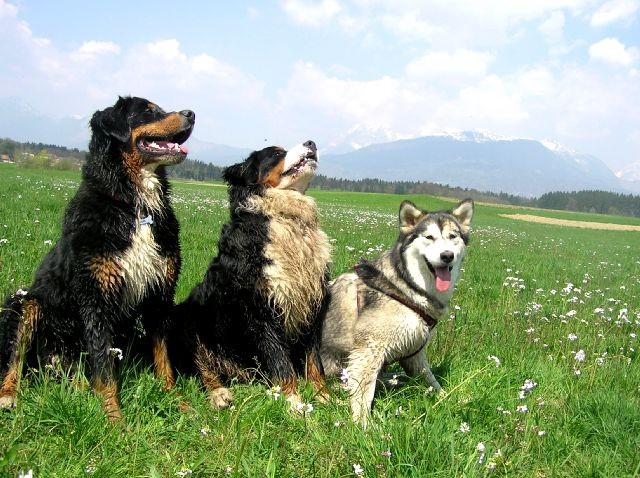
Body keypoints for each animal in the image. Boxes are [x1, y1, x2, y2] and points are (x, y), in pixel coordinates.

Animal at [0, 98, 195, 422]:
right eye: (148, 110)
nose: (191, 114)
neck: (134, 206)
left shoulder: (159, 295)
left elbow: (162, 357)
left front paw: (177, 402)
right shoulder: (96, 296)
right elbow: (103, 369)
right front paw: (113, 418)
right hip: (25, 302)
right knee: (14, 357)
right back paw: (8, 395)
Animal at [170, 142, 330, 410]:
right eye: (276, 153)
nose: (311, 143)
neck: (286, 220)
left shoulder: (311, 303)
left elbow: (314, 359)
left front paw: (323, 396)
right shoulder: (261, 309)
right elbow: (281, 361)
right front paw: (293, 402)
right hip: (186, 319)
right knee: (200, 367)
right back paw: (219, 393)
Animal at [322, 198, 472, 426]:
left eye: (453, 236)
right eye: (429, 237)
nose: (447, 256)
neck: (406, 287)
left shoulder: (414, 351)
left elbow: (430, 379)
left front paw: (448, 398)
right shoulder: (369, 350)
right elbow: (364, 392)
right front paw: (363, 424)